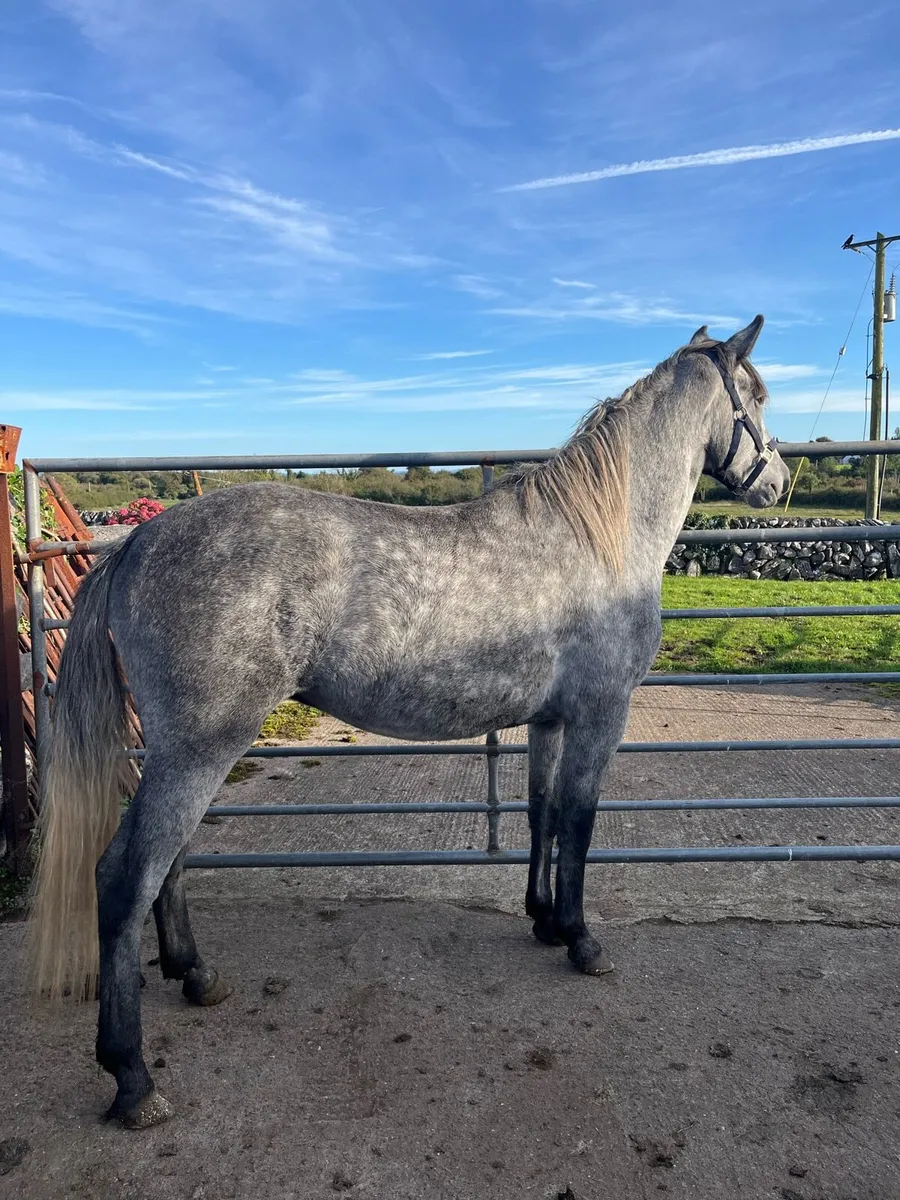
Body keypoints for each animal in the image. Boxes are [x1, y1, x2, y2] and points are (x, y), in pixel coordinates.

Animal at [27, 315, 789, 1128]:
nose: (779, 482)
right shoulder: (599, 715)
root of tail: (137, 542)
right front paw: (582, 941)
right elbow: (581, 824)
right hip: (201, 746)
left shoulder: (549, 721)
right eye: (756, 397)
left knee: (168, 859)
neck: (598, 536)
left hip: (182, 748)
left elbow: (542, 814)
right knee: (125, 875)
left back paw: (196, 976)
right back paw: (132, 1078)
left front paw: (544, 919)